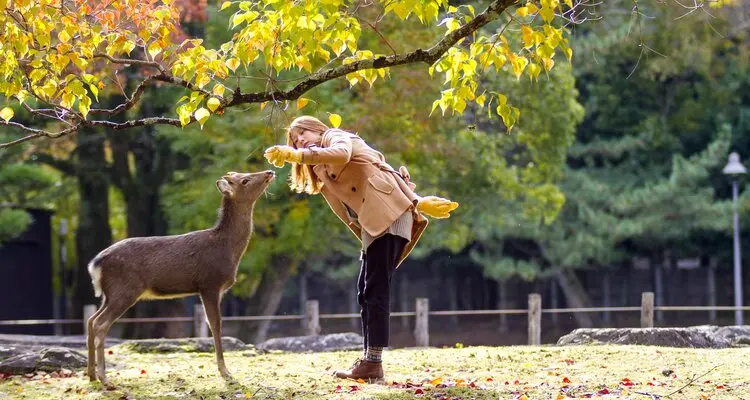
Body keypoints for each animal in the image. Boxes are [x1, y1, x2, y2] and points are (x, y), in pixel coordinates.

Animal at [86, 170, 275, 388]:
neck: (229, 249)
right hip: (125, 289)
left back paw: (91, 375)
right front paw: (226, 373)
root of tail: (95, 264)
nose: (269, 172)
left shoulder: (216, 289)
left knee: (91, 320)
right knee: (100, 323)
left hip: (108, 294)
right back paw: (105, 378)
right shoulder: (209, 283)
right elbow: (215, 325)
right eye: (244, 180)